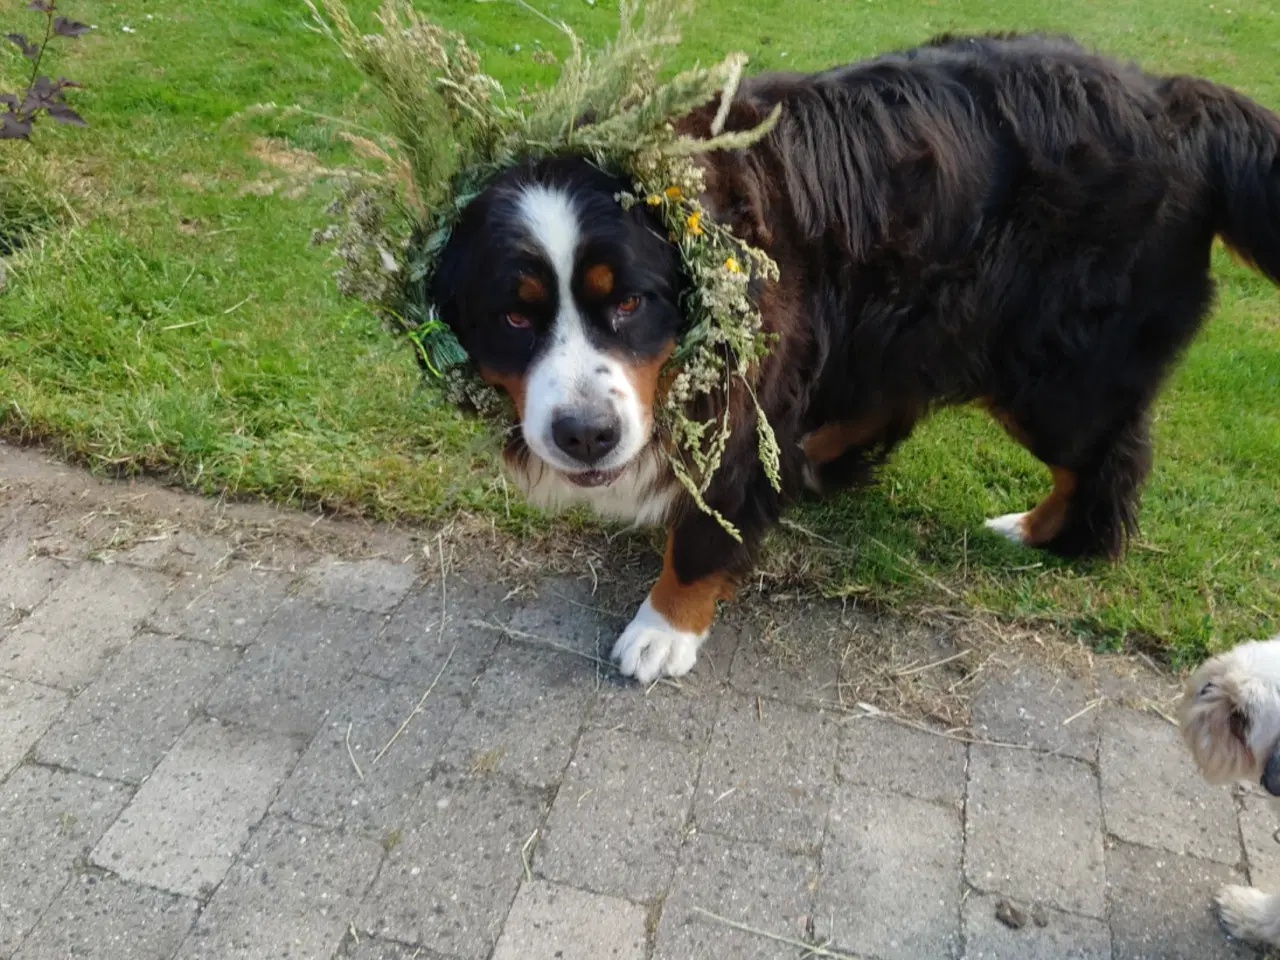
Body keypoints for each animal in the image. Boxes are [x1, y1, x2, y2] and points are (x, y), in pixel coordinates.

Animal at [432, 33, 1280, 686]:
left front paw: (664, 627)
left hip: (1053, 369)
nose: (586, 435)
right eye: (515, 315)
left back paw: (1049, 534)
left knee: (1102, 459)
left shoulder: (755, 389)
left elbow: (710, 527)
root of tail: (1175, 101)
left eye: (631, 303)